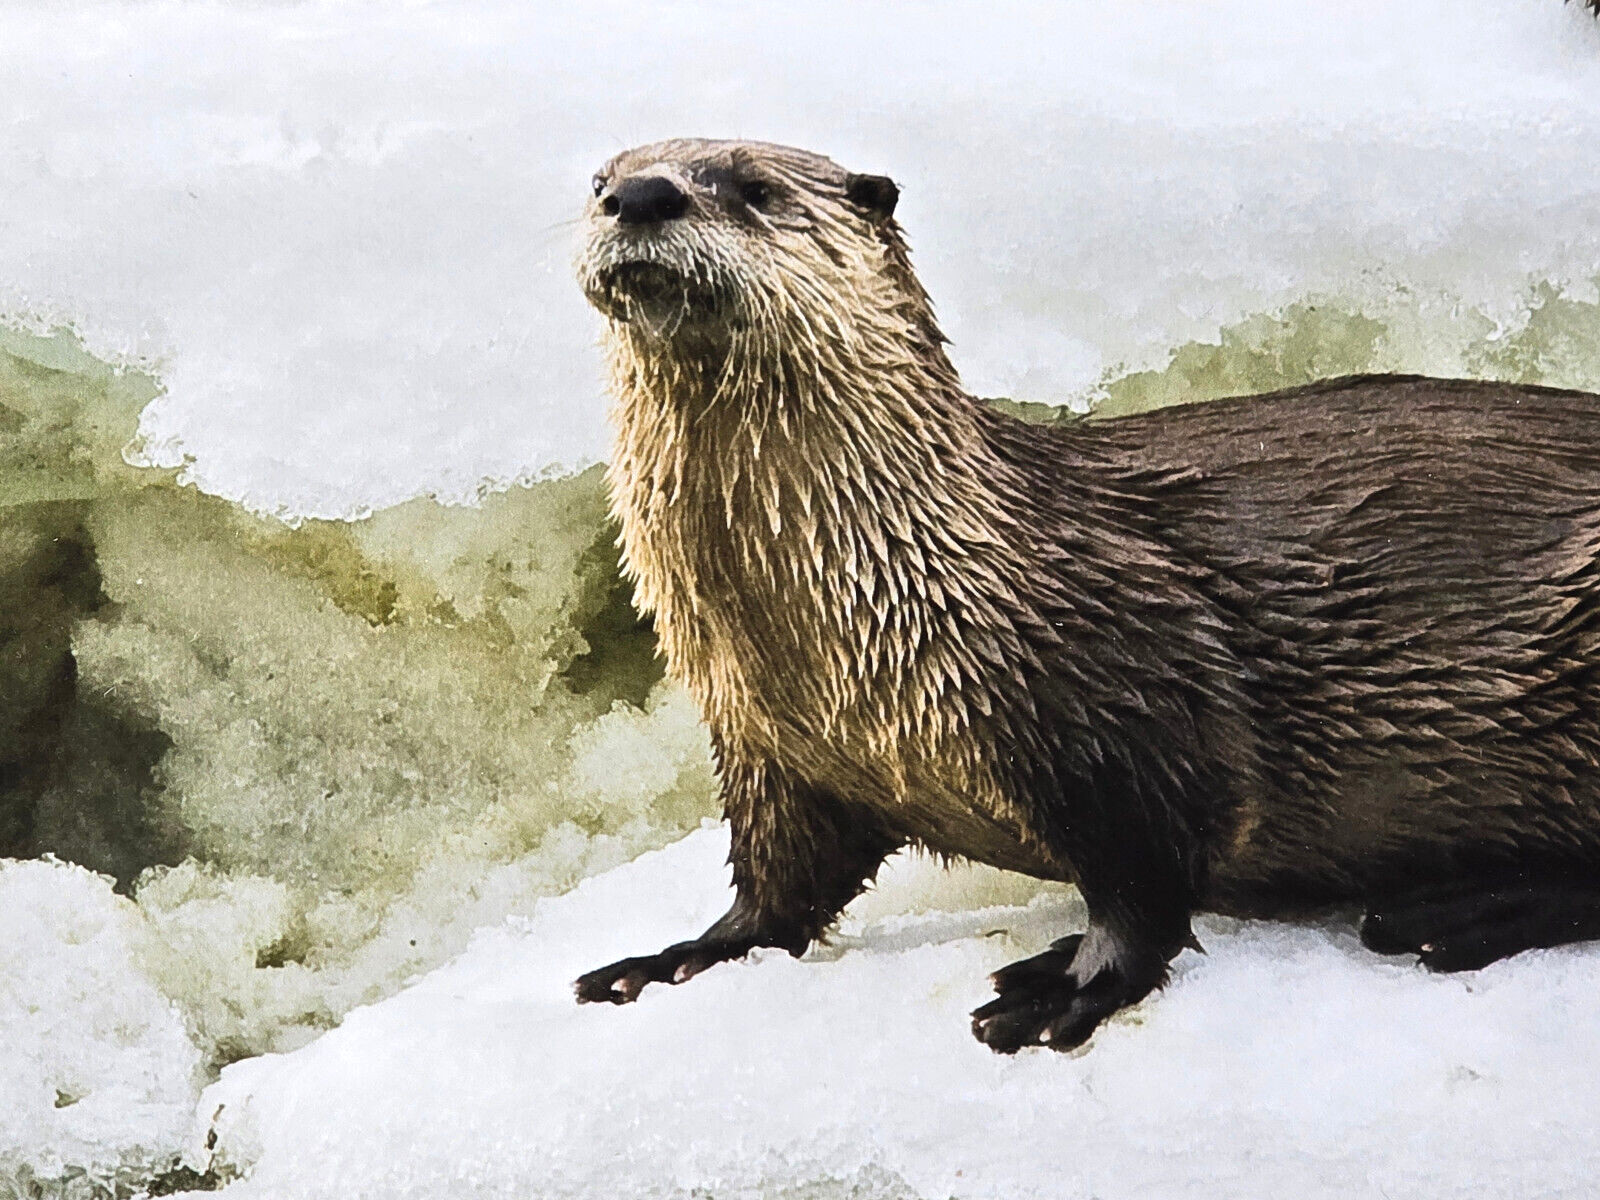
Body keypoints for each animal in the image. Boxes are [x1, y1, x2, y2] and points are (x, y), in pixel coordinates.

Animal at [571, 138, 1600, 1053]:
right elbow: (779, 881)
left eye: (753, 188)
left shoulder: (1123, 699)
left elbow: (1146, 880)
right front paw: (677, 959)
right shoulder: (767, 745)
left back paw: (1461, 914)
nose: (643, 196)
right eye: (599, 179)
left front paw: (1067, 987)